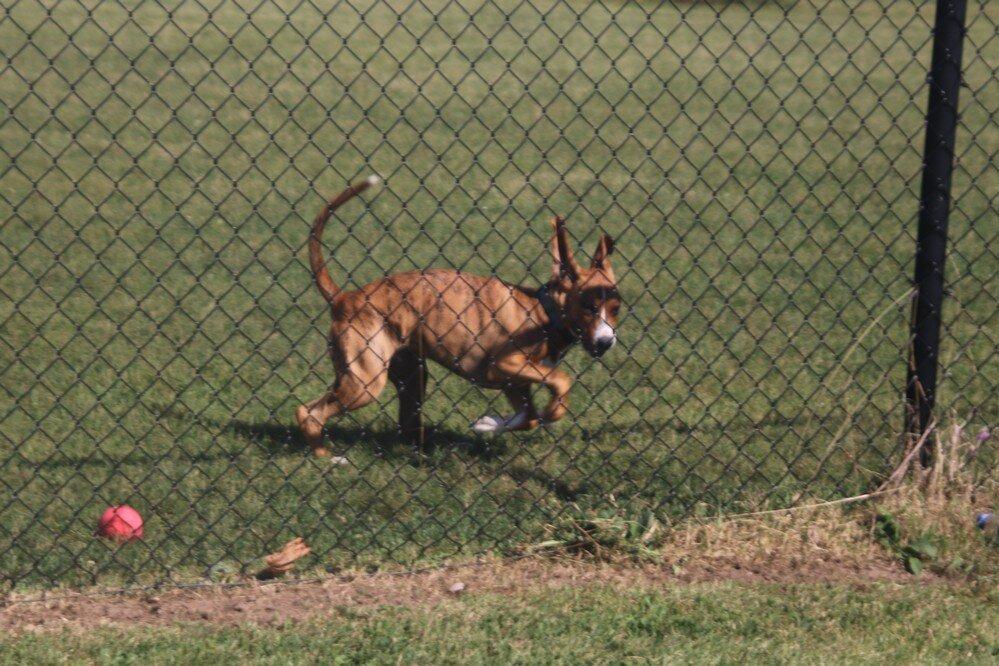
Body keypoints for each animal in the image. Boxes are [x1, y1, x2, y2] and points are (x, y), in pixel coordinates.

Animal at [292, 175, 620, 456]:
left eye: (616, 309)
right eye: (589, 307)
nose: (606, 342)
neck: (543, 313)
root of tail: (345, 297)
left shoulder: (515, 383)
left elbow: (528, 417)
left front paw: (487, 424)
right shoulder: (503, 365)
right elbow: (561, 383)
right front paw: (550, 412)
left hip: (410, 376)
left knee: (404, 425)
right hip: (365, 383)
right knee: (308, 412)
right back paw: (328, 460)